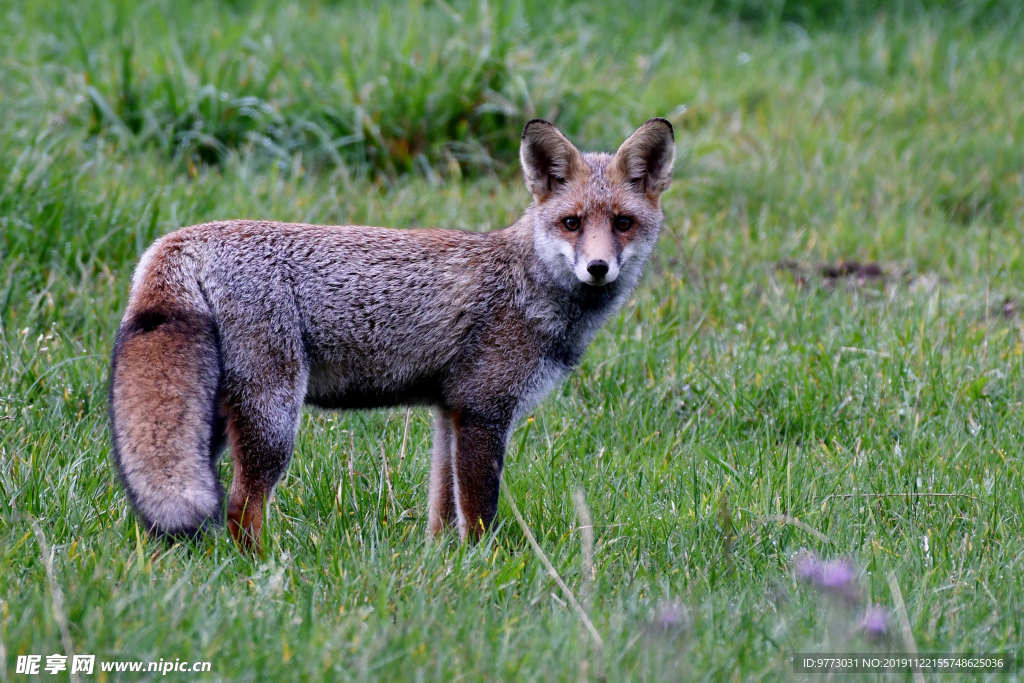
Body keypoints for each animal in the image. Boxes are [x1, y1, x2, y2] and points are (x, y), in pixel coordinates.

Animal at [110, 116, 671, 548]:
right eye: (572, 223)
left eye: (622, 223)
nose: (598, 268)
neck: (527, 284)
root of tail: (179, 239)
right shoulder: (483, 412)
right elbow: (480, 516)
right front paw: (485, 571)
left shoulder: (451, 411)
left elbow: (444, 511)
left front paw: (444, 565)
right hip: (273, 420)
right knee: (240, 507)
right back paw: (264, 567)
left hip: (214, 426)